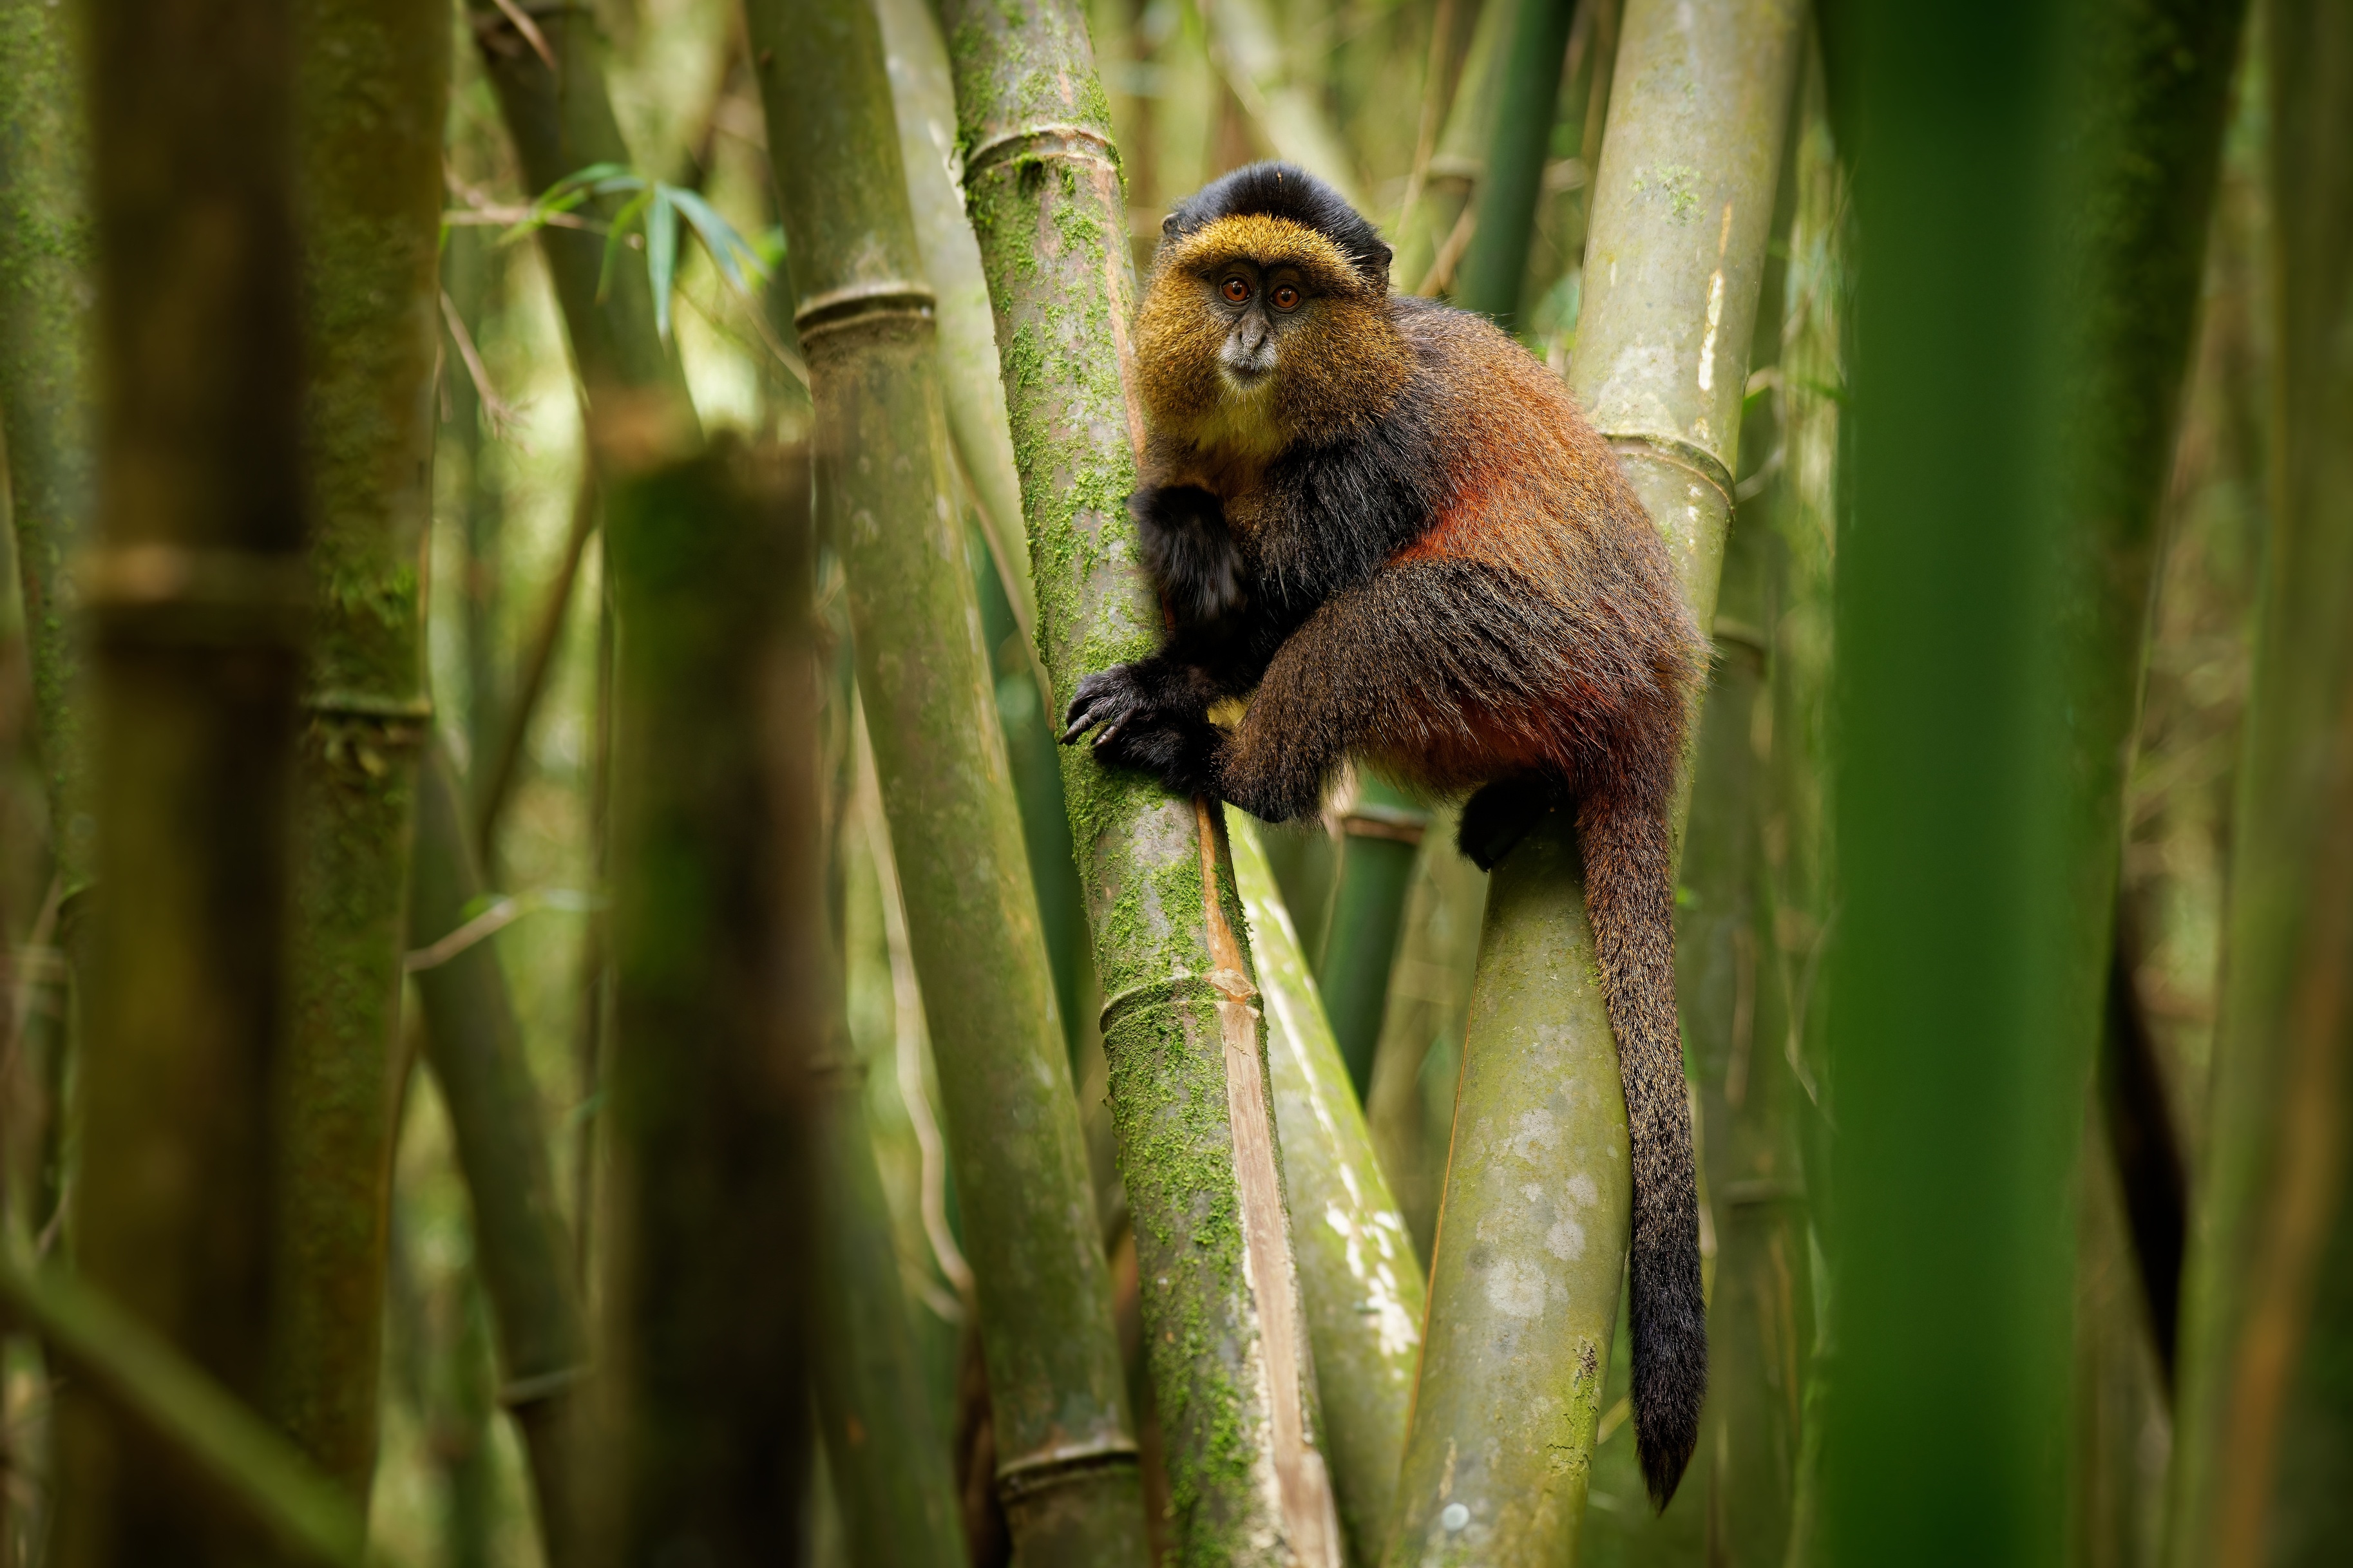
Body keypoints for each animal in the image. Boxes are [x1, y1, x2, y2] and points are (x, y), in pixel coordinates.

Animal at [1060, 162, 1708, 1509]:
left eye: (1292, 297)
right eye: (1233, 286)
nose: (1250, 342)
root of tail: (1662, 688)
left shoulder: (1375, 459)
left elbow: (1284, 615)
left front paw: (1165, 672)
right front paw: (1178, 554)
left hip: (1525, 646)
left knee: (1381, 620)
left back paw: (1228, 769)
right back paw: (1522, 802)